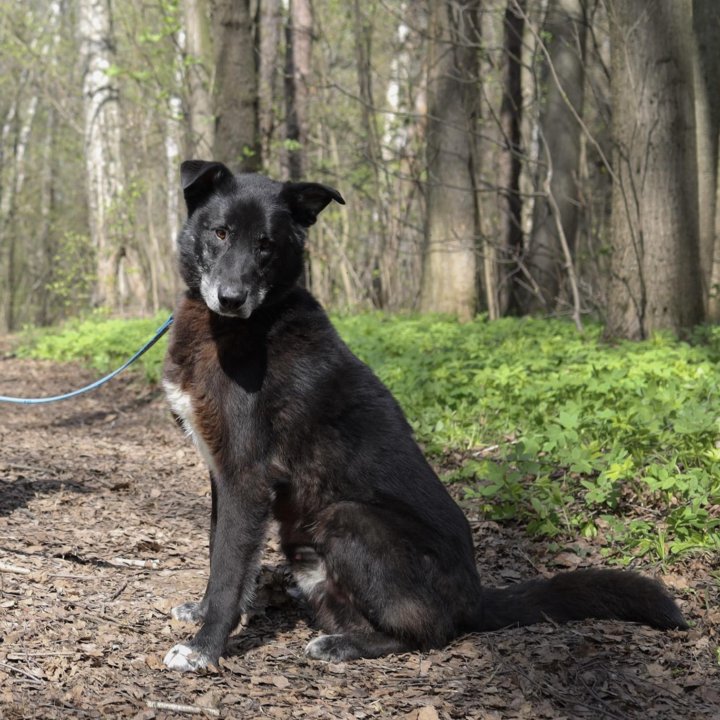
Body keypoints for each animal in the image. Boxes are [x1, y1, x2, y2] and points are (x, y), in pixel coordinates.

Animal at [162, 158, 688, 668]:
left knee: (428, 632)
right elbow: (219, 551)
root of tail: (476, 599)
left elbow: (229, 570)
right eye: (220, 232)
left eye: (266, 245)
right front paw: (204, 613)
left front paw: (205, 647)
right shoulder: (221, 475)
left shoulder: (247, 477)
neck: (239, 327)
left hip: (348, 518)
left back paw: (341, 646)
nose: (231, 298)